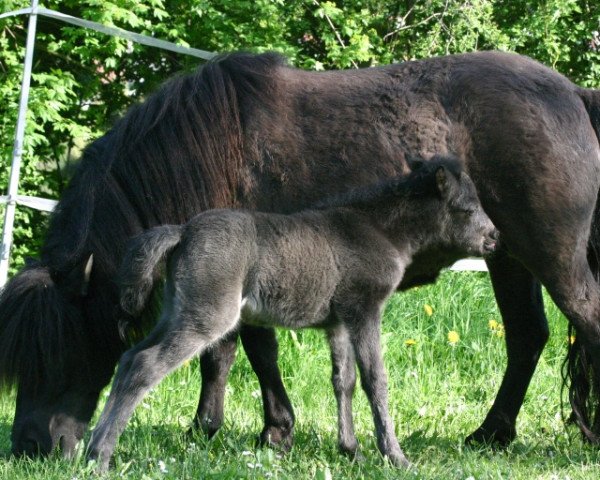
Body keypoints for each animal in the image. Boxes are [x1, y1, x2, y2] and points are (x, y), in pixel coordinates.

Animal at [85, 157, 496, 468]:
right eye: (466, 208)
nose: (493, 238)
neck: (377, 229)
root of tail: (183, 231)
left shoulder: (338, 322)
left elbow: (343, 381)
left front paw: (351, 450)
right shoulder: (364, 311)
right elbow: (375, 380)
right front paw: (395, 457)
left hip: (178, 311)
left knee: (129, 359)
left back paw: (89, 450)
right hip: (206, 317)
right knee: (145, 365)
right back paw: (101, 456)